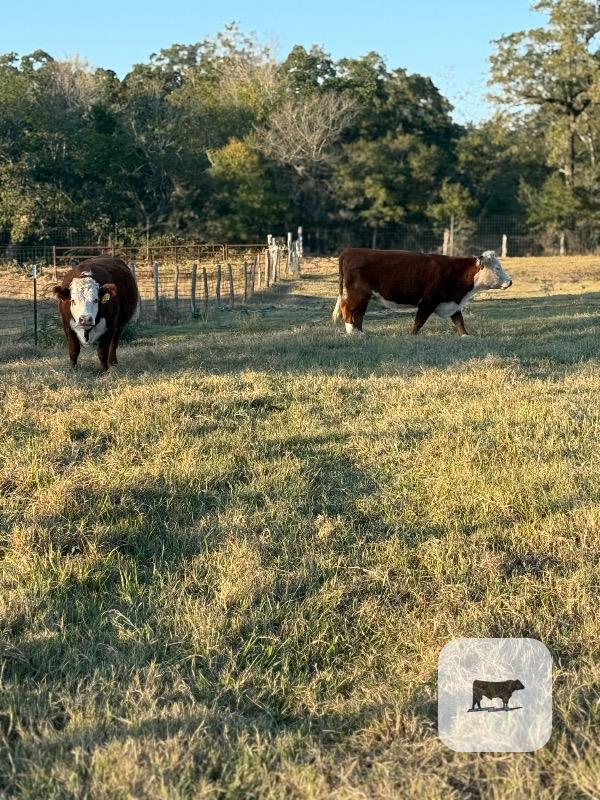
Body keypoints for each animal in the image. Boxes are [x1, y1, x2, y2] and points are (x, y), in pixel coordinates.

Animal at [332, 248, 512, 336]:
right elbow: (419, 321)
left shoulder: (451, 302)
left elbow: (459, 322)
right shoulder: (428, 301)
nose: (510, 281)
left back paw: (360, 332)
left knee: (359, 314)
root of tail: (351, 250)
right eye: (497, 267)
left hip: (365, 296)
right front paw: (412, 335)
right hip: (357, 293)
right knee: (348, 310)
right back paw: (352, 333)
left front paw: (466, 336)